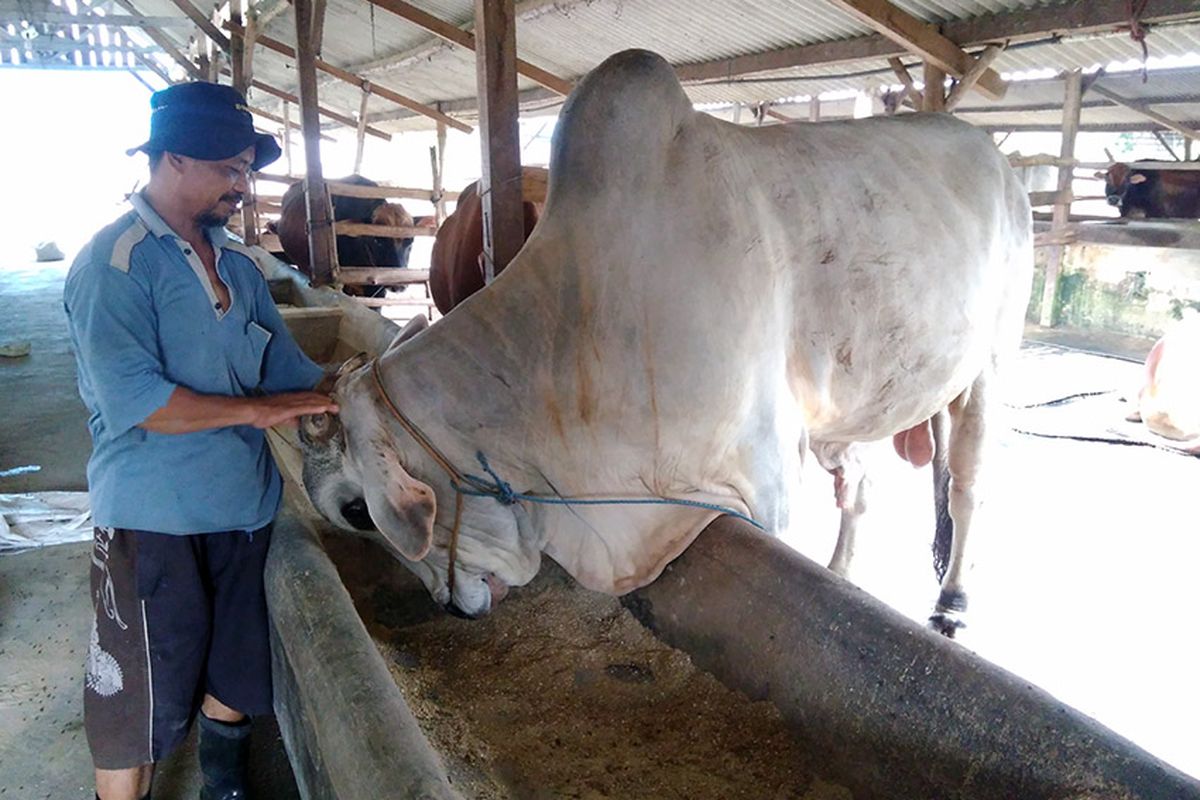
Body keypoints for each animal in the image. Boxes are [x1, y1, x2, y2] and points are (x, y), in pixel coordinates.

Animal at [297, 51, 1032, 638]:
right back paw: (845, 570)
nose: (451, 606)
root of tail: (996, 153)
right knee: (860, 483)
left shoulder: (769, 477)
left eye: (357, 511)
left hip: (992, 362)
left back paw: (952, 602)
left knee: (968, 485)